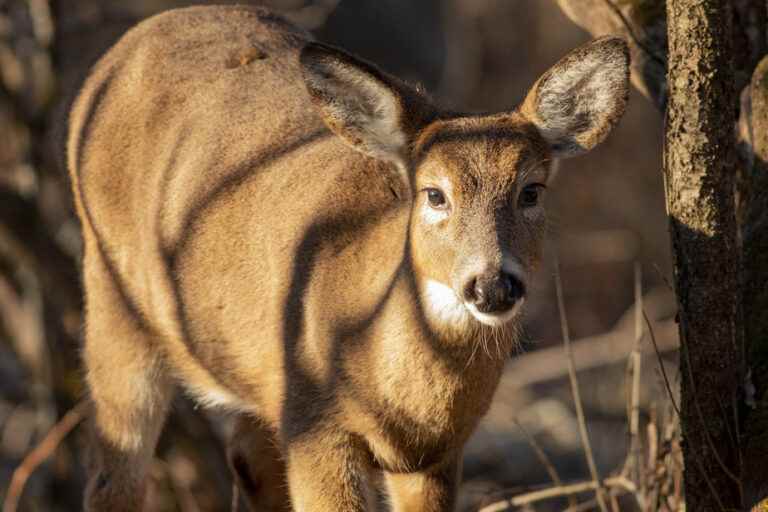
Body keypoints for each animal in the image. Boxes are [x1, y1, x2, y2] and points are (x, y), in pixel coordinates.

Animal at [67, 5, 632, 512]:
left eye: (531, 191)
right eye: (434, 194)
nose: (492, 284)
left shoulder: (435, 457)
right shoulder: (316, 427)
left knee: (248, 458)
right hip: (113, 294)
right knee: (111, 478)